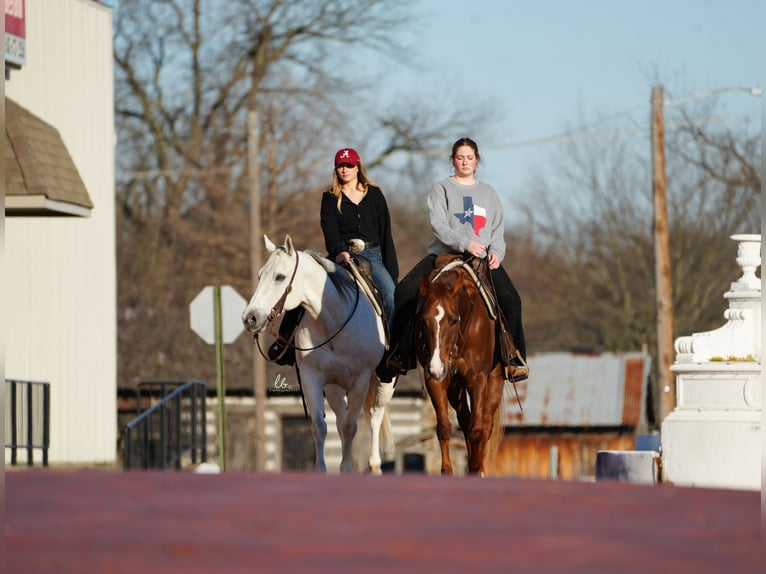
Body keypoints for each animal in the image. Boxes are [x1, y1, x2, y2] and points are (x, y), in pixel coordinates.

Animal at [242, 236, 400, 474]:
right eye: (260, 275)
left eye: (280, 277)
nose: (249, 317)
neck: (334, 320)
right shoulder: (312, 378)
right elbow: (320, 427)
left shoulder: (360, 380)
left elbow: (352, 427)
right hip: (334, 388)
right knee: (341, 421)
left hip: (383, 382)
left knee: (374, 415)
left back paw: (374, 465)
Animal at [416, 256, 508, 476]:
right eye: (423, 319)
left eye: (453, 319)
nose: (437, 367)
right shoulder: (435, 381)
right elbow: (444, 428)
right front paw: (447, 470)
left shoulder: (478, 379)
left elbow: (477, 431)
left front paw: (475, 468)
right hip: (455, 387)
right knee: (465, 421)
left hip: (494, 382)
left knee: (485, 424)